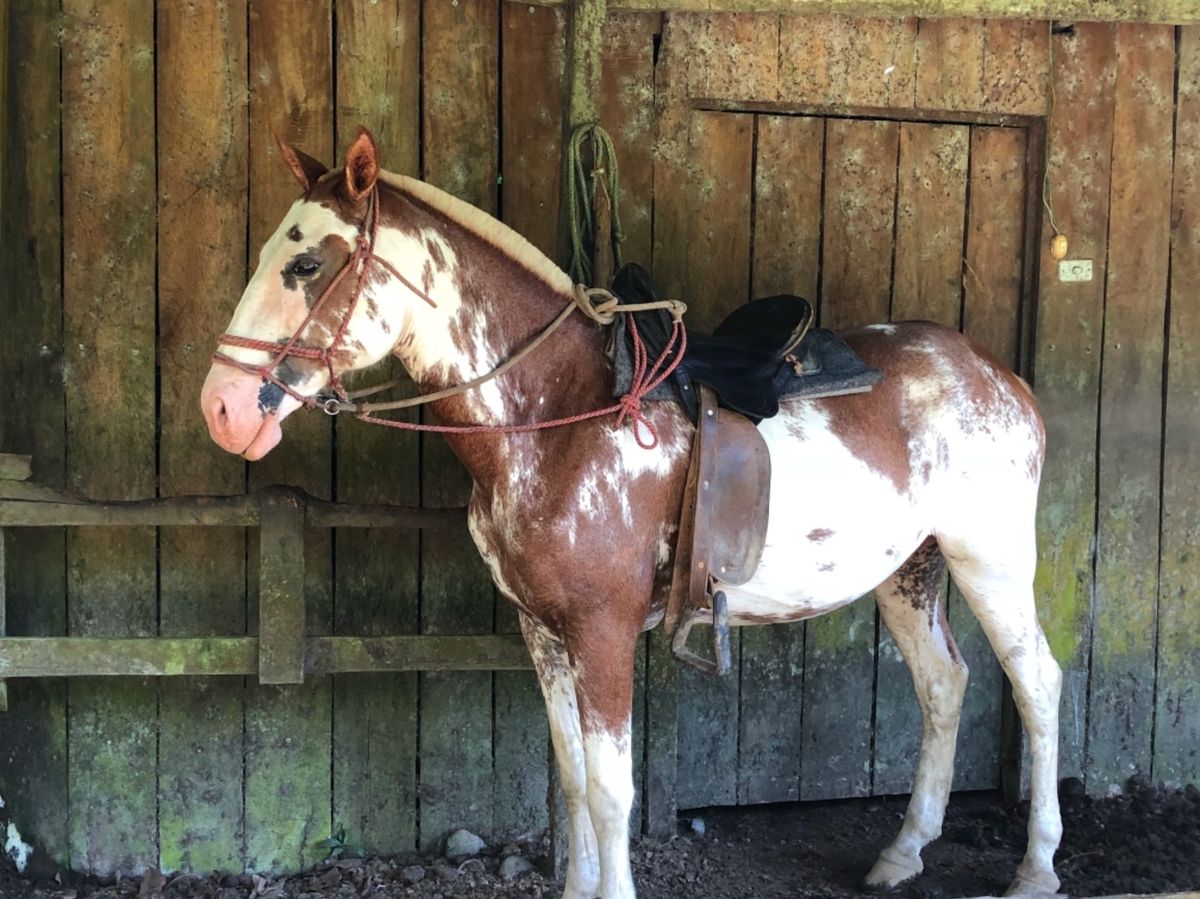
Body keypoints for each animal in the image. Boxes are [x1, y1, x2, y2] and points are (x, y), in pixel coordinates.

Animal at [201, 128, 1063, 899]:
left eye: (307, 262)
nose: (223, 408)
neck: (558, 416)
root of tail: (998, 375)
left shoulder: (602, 630)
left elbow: (612, 792)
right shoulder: (544, 631)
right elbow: (575, 777)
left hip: (990, 562)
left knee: (1037, 683)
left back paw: (1035, 868)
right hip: (911, 570)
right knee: (944, 684)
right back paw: (904, 850)